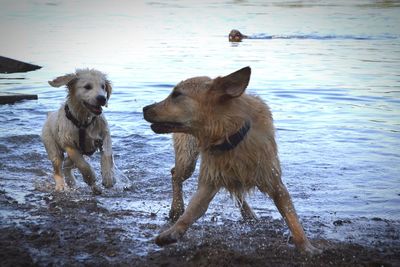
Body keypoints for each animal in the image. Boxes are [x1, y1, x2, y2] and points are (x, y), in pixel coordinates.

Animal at [142, 67, 320, 255]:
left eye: (177, 94)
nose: (144, 108)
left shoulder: (274, 181)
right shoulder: (209, 182)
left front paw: (306, 246)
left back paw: (248, 213)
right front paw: (171, 232)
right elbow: (190, 212)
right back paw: (176, 206)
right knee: (175, 174)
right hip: (188, 158)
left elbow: (291, 216)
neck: (230, 135)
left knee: (236, 189)